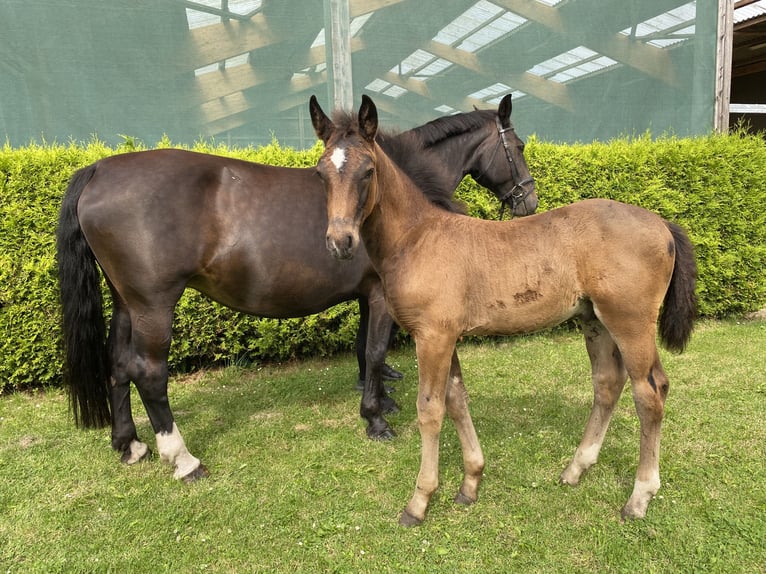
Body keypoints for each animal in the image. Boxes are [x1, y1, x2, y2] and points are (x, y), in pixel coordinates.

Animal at [57, 95, 536, 482]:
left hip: (127, 302)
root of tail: (99, 169)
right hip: (154, 305)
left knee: (118, 365)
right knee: (149, 373)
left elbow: (365, 349)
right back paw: (183, 459)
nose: (529, 201)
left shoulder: (366, 294)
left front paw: (379, 398)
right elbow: (376, 350)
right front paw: (375, 419)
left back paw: (128, 443)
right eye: (518, 147)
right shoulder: (380, 295)